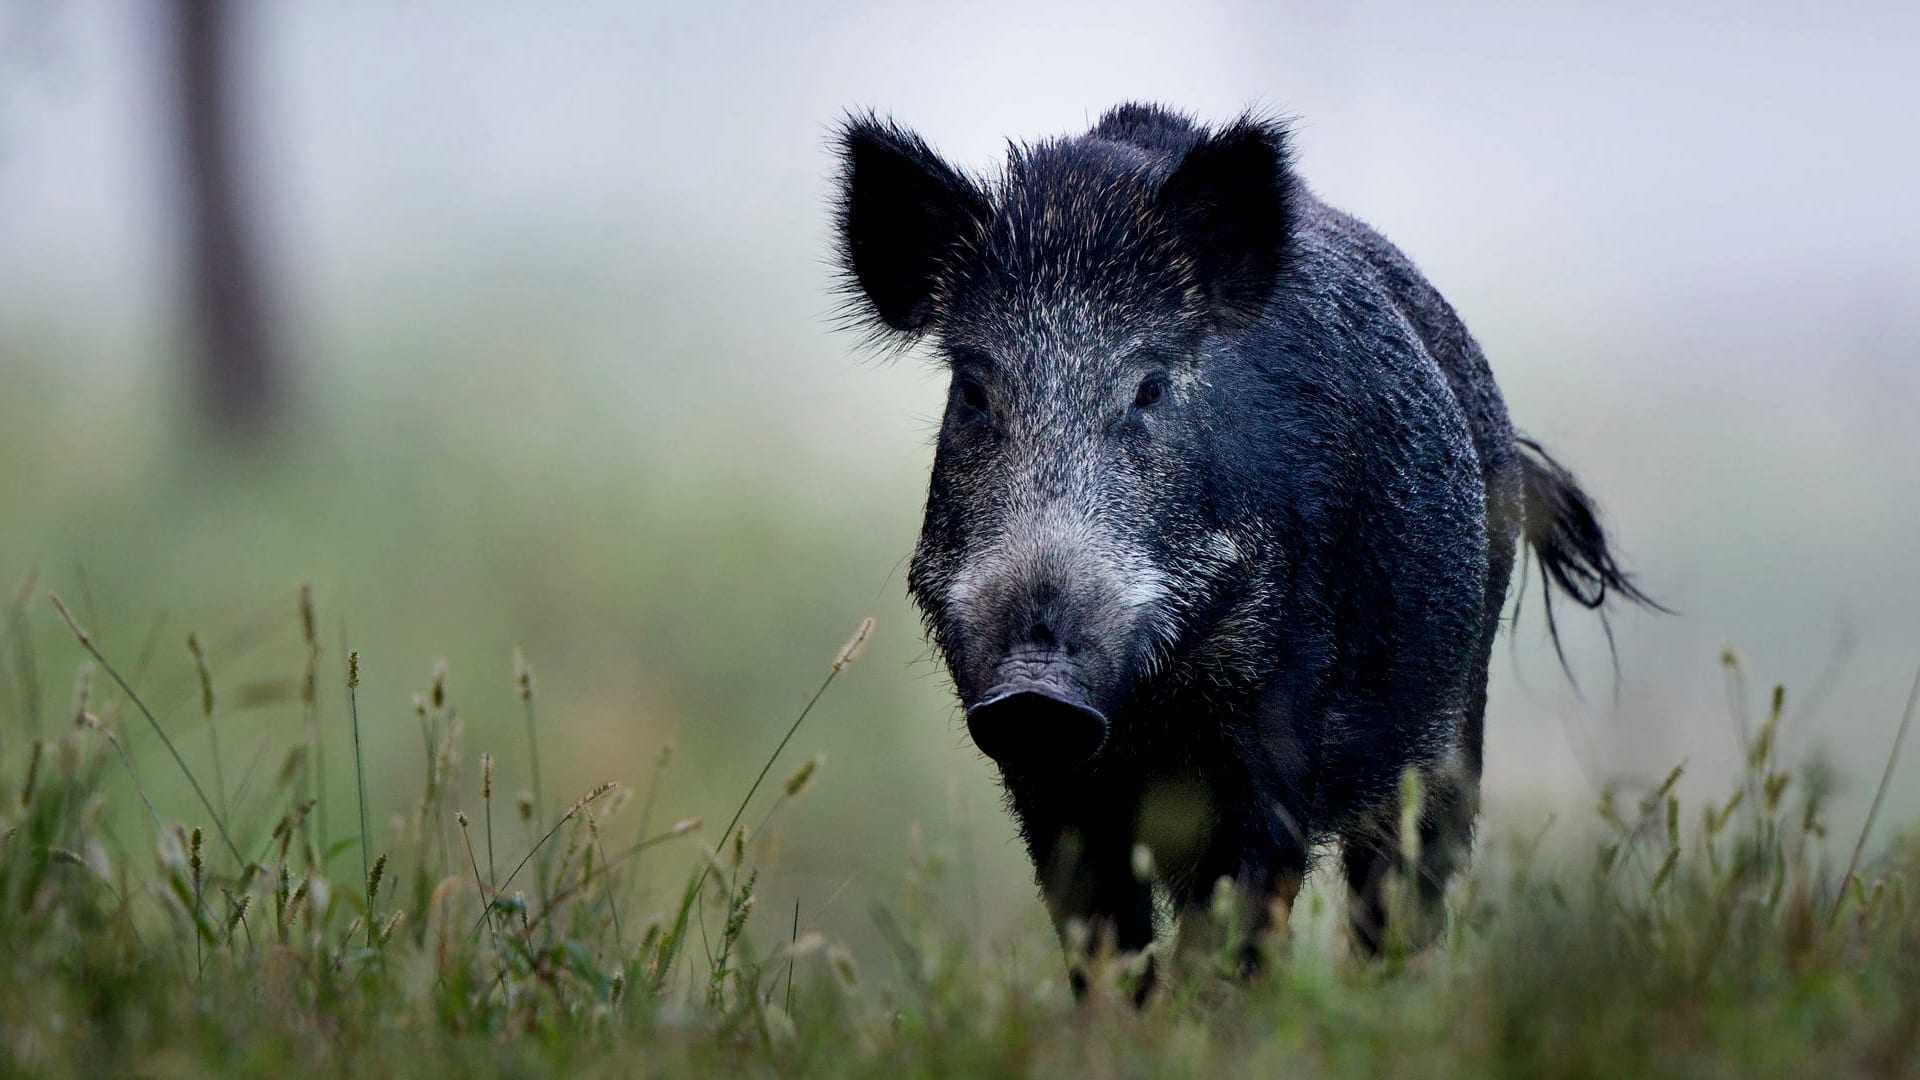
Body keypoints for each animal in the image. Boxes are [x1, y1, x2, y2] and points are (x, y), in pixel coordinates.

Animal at [831, 103, 1655, 988]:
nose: (1035, 688)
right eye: (974, 391)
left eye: (1150, 387)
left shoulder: (1281, 719)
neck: (1148, 706)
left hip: (1453, 722)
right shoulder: (1042, 778)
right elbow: (1102, 936)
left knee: (1402, 894)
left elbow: (1239, 915)